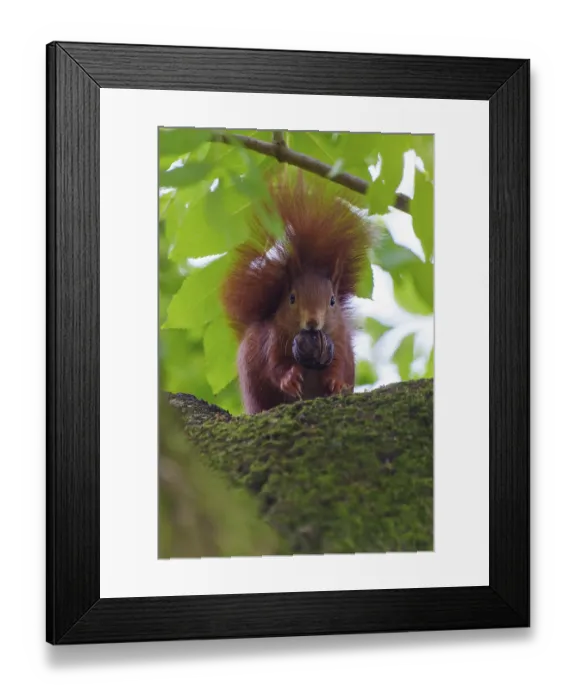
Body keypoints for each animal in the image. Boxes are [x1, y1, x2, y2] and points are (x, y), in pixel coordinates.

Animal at [220, 173, 371, 415]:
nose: (312, 322)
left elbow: (338, 364)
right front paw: (289, 379)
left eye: (332, 301)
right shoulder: (273, 338)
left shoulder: (339, 339)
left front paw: (336, 383)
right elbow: (274, 366)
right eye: (291, 298)